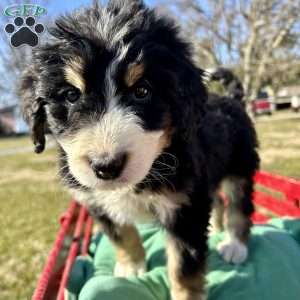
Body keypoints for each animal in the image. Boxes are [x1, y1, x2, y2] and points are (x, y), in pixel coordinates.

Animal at [18, 1, 258, 298]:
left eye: (142, 92)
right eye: (71, 95)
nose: (106, 167)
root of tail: (232, 100)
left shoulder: (183, 209)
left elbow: (183, 266)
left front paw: (185, 294)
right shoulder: (97, 201)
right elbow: (123, 236)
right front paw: (131, 267)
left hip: (240, 167)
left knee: (238, 205)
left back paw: (235, 245)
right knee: (218, 202)